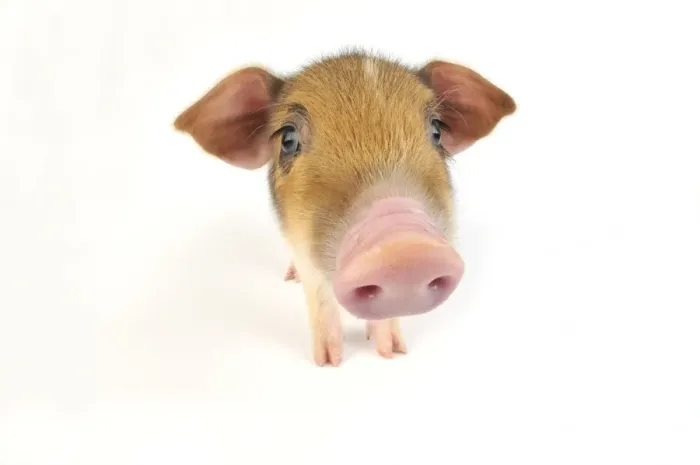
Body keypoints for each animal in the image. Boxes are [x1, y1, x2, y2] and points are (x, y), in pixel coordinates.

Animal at [173, 50, 515, 366]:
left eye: (436, 131)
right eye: (288, 139)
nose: (405, 245)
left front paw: (393, 353)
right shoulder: (303, 250)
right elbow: (321, 300)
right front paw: (329, 363)